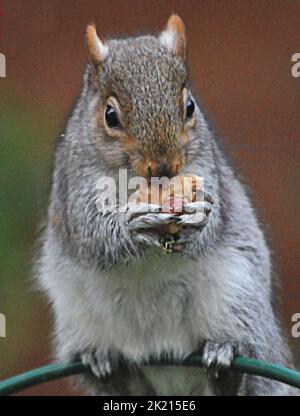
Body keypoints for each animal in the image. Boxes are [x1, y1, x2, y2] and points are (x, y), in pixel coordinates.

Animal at [37, 14, 296, 394]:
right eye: (110, 115)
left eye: (189, 106)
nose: (164, 167)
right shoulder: (74, 184)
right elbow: (92, 233)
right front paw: (133, 225)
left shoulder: (205, 166)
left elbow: (212, 221)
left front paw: (199, 214)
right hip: (76, 318)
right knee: (119, 382)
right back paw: (104, 364)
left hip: (239, 296)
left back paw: (225, 362)